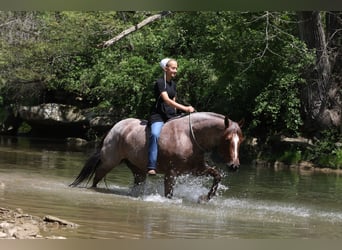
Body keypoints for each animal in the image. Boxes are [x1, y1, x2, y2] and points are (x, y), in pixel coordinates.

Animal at [69, 112, 243, 202]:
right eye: (227, 139)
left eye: (240, 140)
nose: (234, 166)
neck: (190, 136)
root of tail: (114, 128)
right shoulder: (171, 173)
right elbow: (169, 195)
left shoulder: (197, 169)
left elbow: (217, 176)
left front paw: (205, 197)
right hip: (108, 163)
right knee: (96, 178)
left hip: (137, 170)